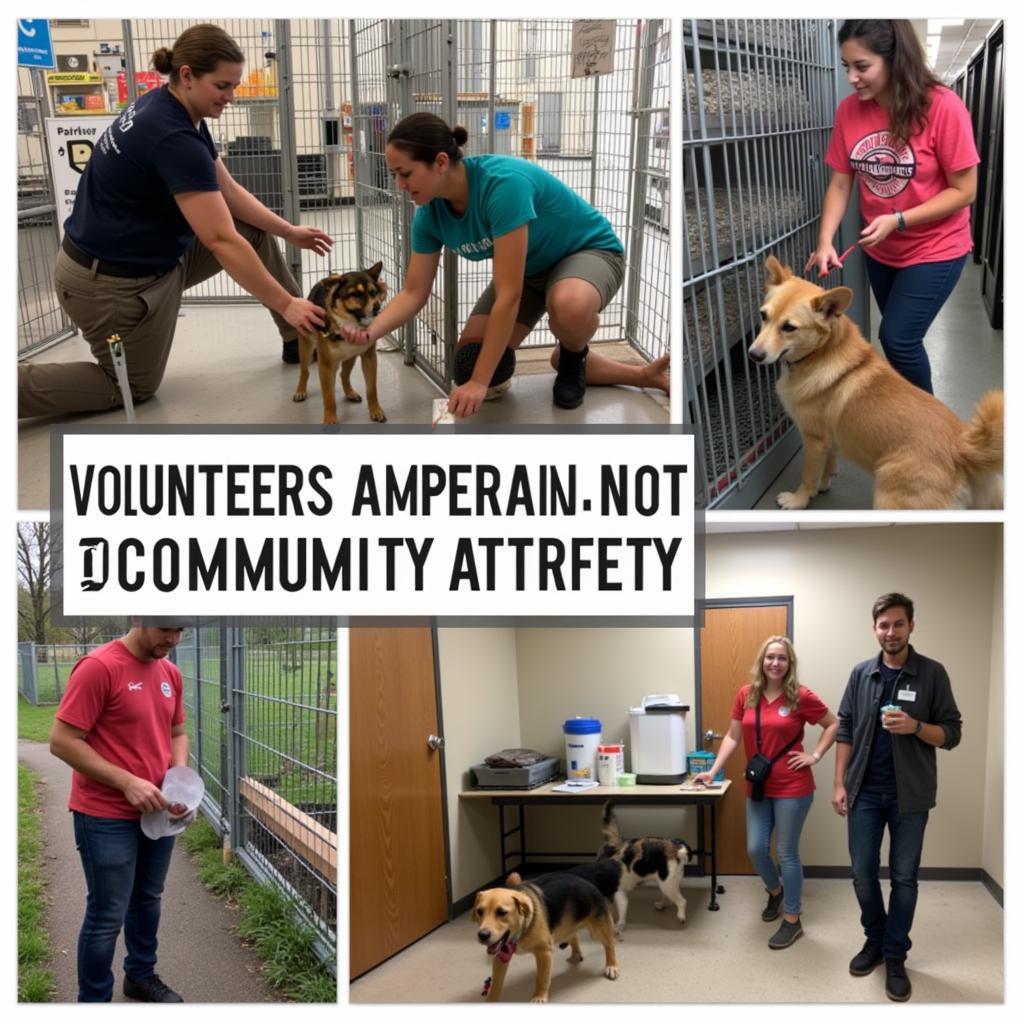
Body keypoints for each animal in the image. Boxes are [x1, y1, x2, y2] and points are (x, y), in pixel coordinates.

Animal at [292, 264, 387, 428]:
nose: (377, 307)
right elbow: (329, 397)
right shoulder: (325, 366)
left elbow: (372, 389)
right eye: (355, 294)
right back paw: (300, 390)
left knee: (344, 374)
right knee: (304, 371)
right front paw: (330, 419)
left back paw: (350, 393)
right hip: (306, 345)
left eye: (374, 292)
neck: (349, 324)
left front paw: (375, 410)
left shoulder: (369, 358)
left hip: (351, 356)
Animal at [468, 868, 614, 1003]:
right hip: (566, 925)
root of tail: (585, 879)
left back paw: (612, 966)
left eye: (502, 912)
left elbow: (542, 978)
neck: (521, 931)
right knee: (572, 935)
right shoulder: (501, 955)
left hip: (598, 929)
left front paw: (539, 996)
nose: (482, 935)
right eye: (479, 911)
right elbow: (496, 983)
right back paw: (576, 955)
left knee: (609, 944)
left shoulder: (544, 952)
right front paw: (491, 1000)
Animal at [749, 256, 1003, 512]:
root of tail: (963, 449)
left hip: (889, 497)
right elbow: (829, 465)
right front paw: (824, 483)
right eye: (763, 315)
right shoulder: (829, 441)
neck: (821, 354)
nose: (753, 355)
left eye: (789, 327)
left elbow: (808, 477)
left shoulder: (814, 441)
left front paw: (798, 499)